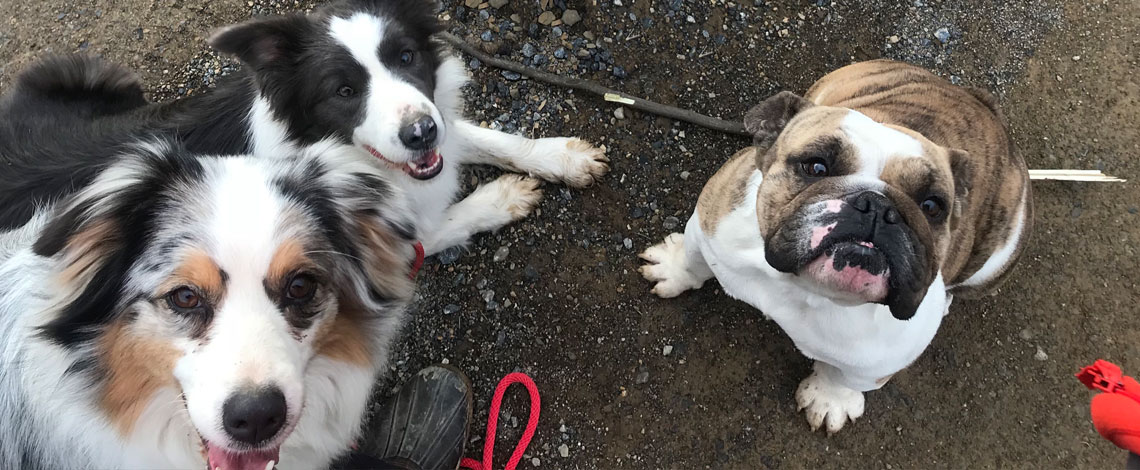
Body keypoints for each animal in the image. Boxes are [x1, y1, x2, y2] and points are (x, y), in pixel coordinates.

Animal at [0, 0, 615, 253]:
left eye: (407, 57)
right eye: (343, 92)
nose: (420, 134)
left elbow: (483, 134)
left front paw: (561, 157)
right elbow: (443, 224)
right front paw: (502, 199)